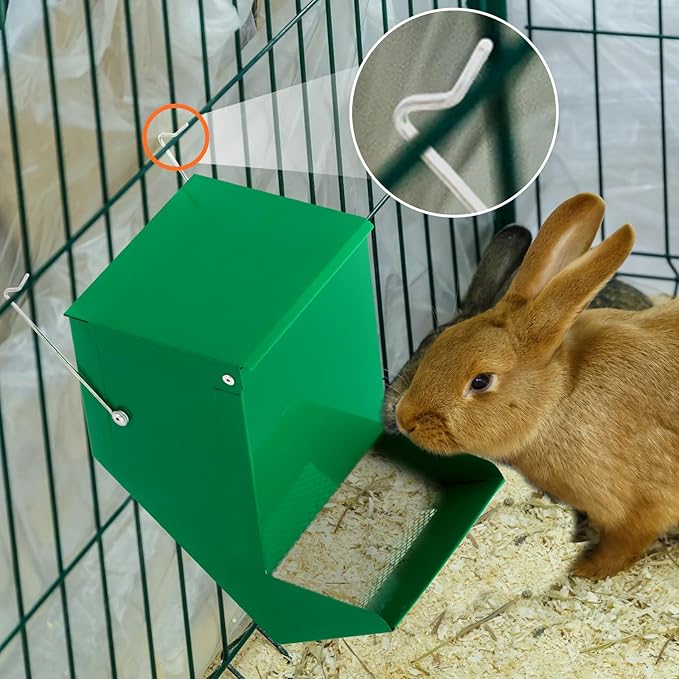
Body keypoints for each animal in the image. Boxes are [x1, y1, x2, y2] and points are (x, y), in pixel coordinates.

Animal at [393, 192, 679, 580]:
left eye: (480, 381)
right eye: (438, 343)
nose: (404, 418)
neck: (557, 399)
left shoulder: (638, 507)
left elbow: (621, 547)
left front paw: (582, 571)